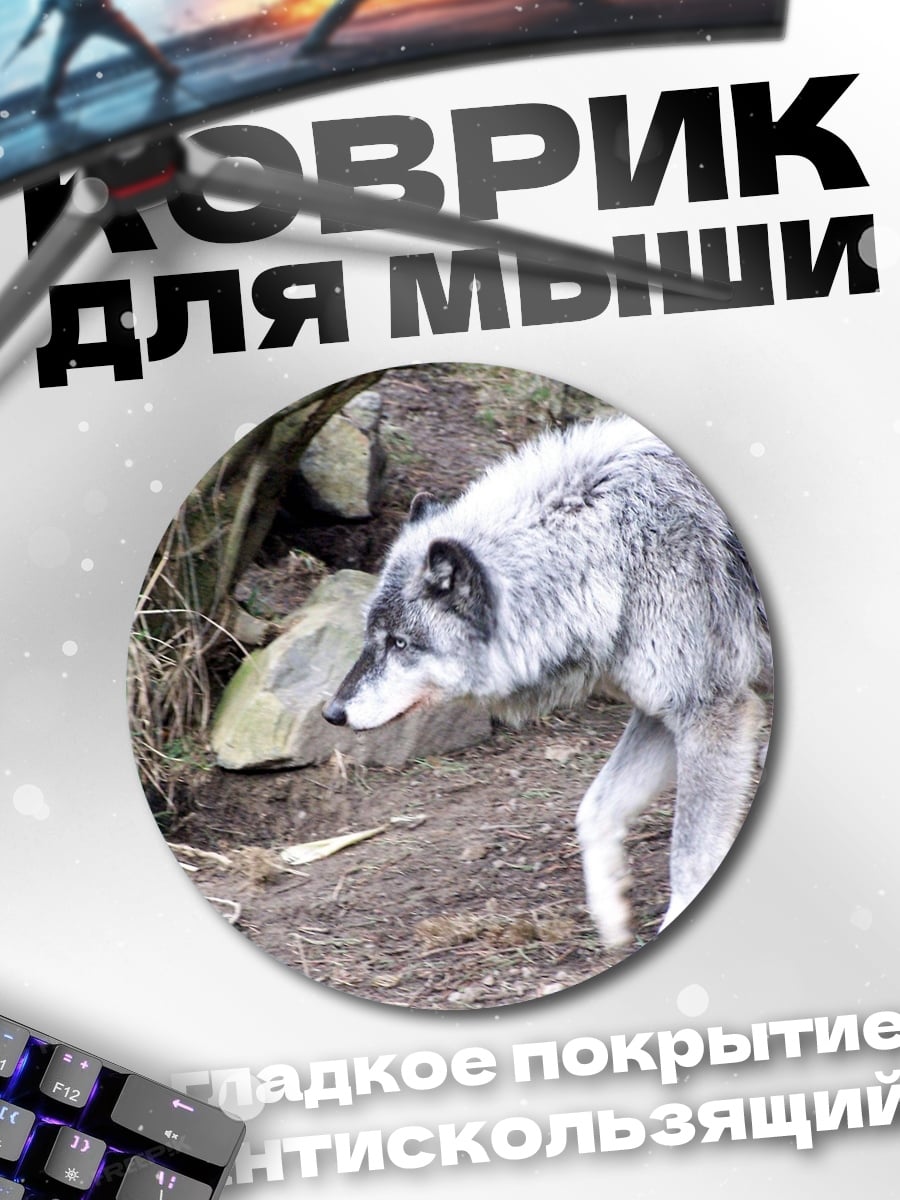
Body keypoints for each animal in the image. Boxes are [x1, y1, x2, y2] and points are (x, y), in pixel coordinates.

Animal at [324, 415, 772, 947]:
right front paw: (611, 912)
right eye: (372, 637)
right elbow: (593, 811)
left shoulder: (711, 714)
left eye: (399, 643)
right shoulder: (659, 713)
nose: (332, 712)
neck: (616, 551)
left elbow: (689, 856)